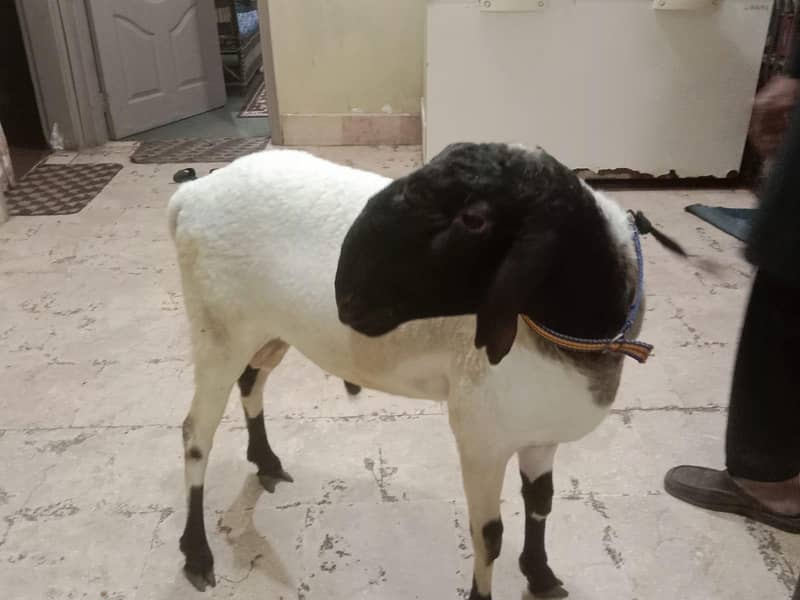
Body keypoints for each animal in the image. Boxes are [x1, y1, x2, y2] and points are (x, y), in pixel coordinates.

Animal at [169, 142, 652, 599]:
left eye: (474, 219)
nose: (347, 297)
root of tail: (191, 195)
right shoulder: (481, 437)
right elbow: (489, 535)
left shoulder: (540, 436)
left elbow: (540, 503)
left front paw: (540, 574)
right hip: (216, 332)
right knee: (195, 435)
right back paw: (196, 553)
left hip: (267, 332)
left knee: (251, 380)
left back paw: (266, 462)